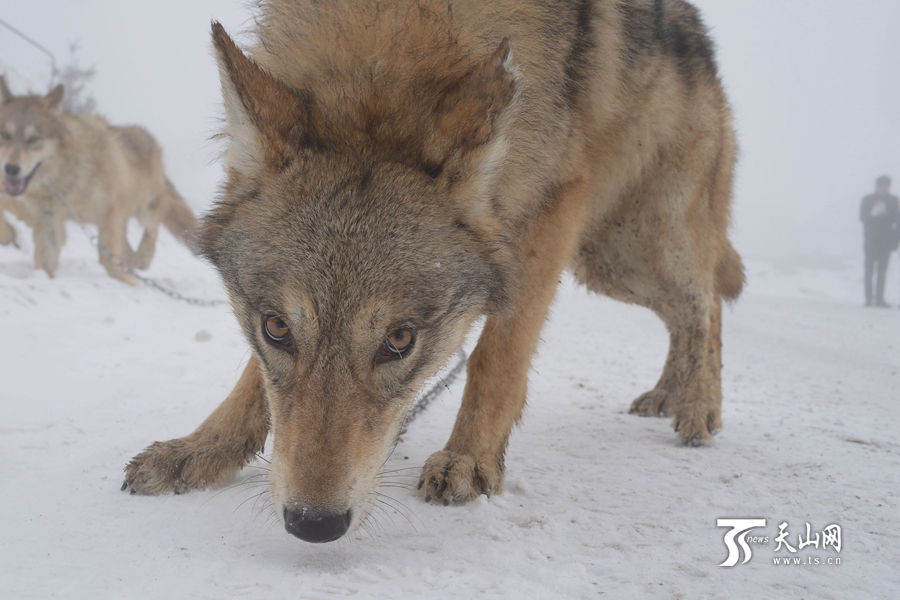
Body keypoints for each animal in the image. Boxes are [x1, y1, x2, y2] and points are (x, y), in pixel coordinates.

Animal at [0, 77, 196, 284]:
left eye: (33, 139)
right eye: (5, 135)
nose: (10, 168)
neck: (66, 180)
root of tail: (149, 137)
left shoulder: (109, 214)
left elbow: (107, 260)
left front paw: (128, 283)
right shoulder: (48, 223)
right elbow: (45, 262)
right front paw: (42, 279)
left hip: (144, 208)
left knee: (155, 222)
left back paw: (143, 257)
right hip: (122, 220)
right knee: (127, 249)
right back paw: (133, 262)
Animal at [125, 0, 744, 544]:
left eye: (399, 341)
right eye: (276, 328)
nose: (313, 524)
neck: (385, 45)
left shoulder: (554, 204)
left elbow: (500, 354)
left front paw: (471, 458)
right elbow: (255, 379)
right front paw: (204, 448)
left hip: (639, 243)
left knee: (706, 297)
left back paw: (698, 404)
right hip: (609, 264)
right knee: (687, 307)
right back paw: (666, 394)